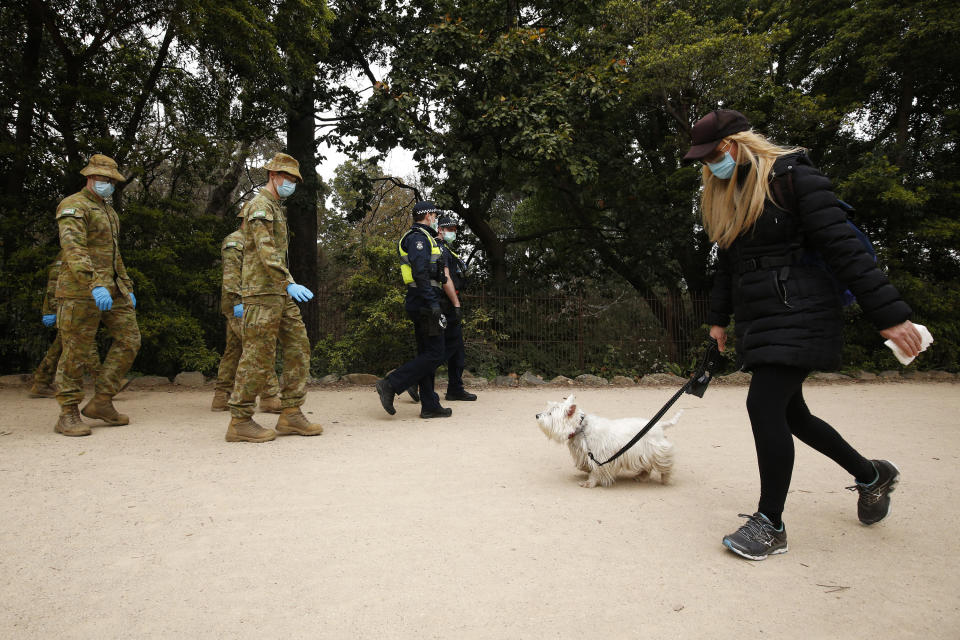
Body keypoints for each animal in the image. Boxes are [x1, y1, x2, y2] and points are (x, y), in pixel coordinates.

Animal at [536, 392, 680, 488]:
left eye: (550, 413)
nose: (537, 415)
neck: (581, 428)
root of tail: (659, 425)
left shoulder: (599, 456)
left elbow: (595, 471)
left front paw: (589, 483)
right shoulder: (584, 453)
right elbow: (584, 465)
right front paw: (585, 470)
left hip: (657, 451)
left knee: (664, 465)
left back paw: (665, 479)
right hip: (644, 453)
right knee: (647, 466)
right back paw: (641, 477)